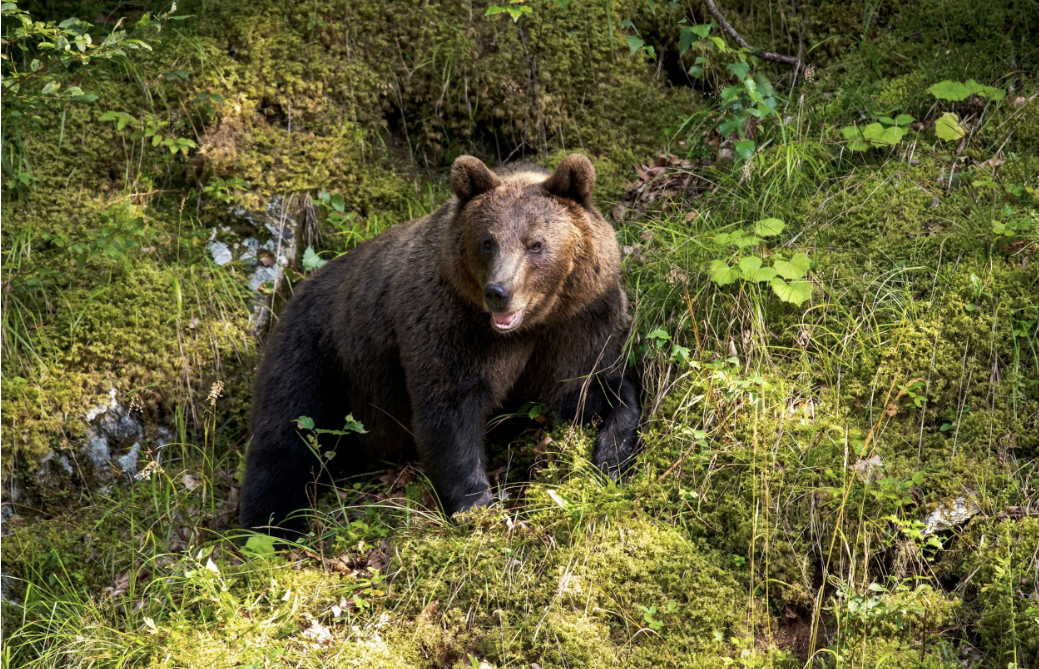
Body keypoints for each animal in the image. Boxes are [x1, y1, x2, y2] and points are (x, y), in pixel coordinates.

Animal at [239, 154, 640, 535]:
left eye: (535, 244)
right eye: (487, 242)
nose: (498, 292)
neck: (529, 325)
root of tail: (297, 291)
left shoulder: (577, 322)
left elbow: (587, 390)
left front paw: (612, 457)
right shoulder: (451, 324)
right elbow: (449, 410)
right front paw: (477, 505)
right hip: (317, 351)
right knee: (287, 434)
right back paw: (272, 526)